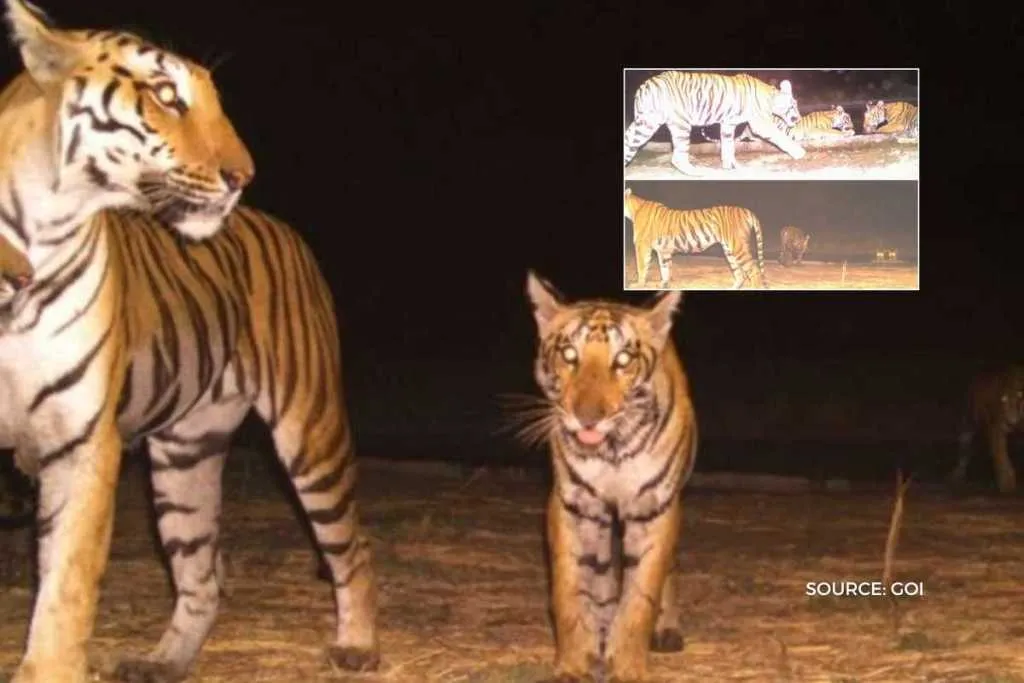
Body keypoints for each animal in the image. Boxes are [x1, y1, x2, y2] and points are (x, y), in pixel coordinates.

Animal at [0, 3, 378, 682]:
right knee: (202, 573)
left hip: (311, 433)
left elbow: (65, 588)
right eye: (166, 95)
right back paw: (164, 660)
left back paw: (357, 645)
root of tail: (284, 228)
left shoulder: (82, 441)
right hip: (185, 455)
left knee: (352, 547)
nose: (242, 176)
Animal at [523, 271, 697, 682]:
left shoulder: (655, 508)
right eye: (570, 355)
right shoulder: (575, 505)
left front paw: (628, 667)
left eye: (623, 360)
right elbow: (571, 590)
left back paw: (665, 630)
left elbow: (640, 596)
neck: (612, 449)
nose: (587, 418)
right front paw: (574, 665)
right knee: (601, 575)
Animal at [623, 70, 806, 176]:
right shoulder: (760, 124)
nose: (798, 118)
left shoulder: (728, 124)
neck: (770, 97)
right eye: (793, 106)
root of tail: (645, 86)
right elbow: (781, 138)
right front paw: (800, 152)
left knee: (629, 142)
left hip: (645, 123)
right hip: (680, 124)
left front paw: (730, 165)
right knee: (678, 157)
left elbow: (728, 145)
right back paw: (696, 172)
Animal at [624, 187, 767, 289]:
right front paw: (664, 284)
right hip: (729, 250)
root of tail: (746, 210)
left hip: (738, 247)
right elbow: (664, 268)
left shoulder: (641, 246)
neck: (633, 210)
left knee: (754, 270)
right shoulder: (663, 251)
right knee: (740, 273)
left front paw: (638, 285)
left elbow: (641, 267)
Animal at [950, 365, 1024, 494]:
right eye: (1003, 399)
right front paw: (1006, 485)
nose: (1012, 420)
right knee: (964, 447)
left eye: (1020, 396)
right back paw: (958, 475)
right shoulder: (996, 430)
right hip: (969, 420)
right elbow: (1001, 458)